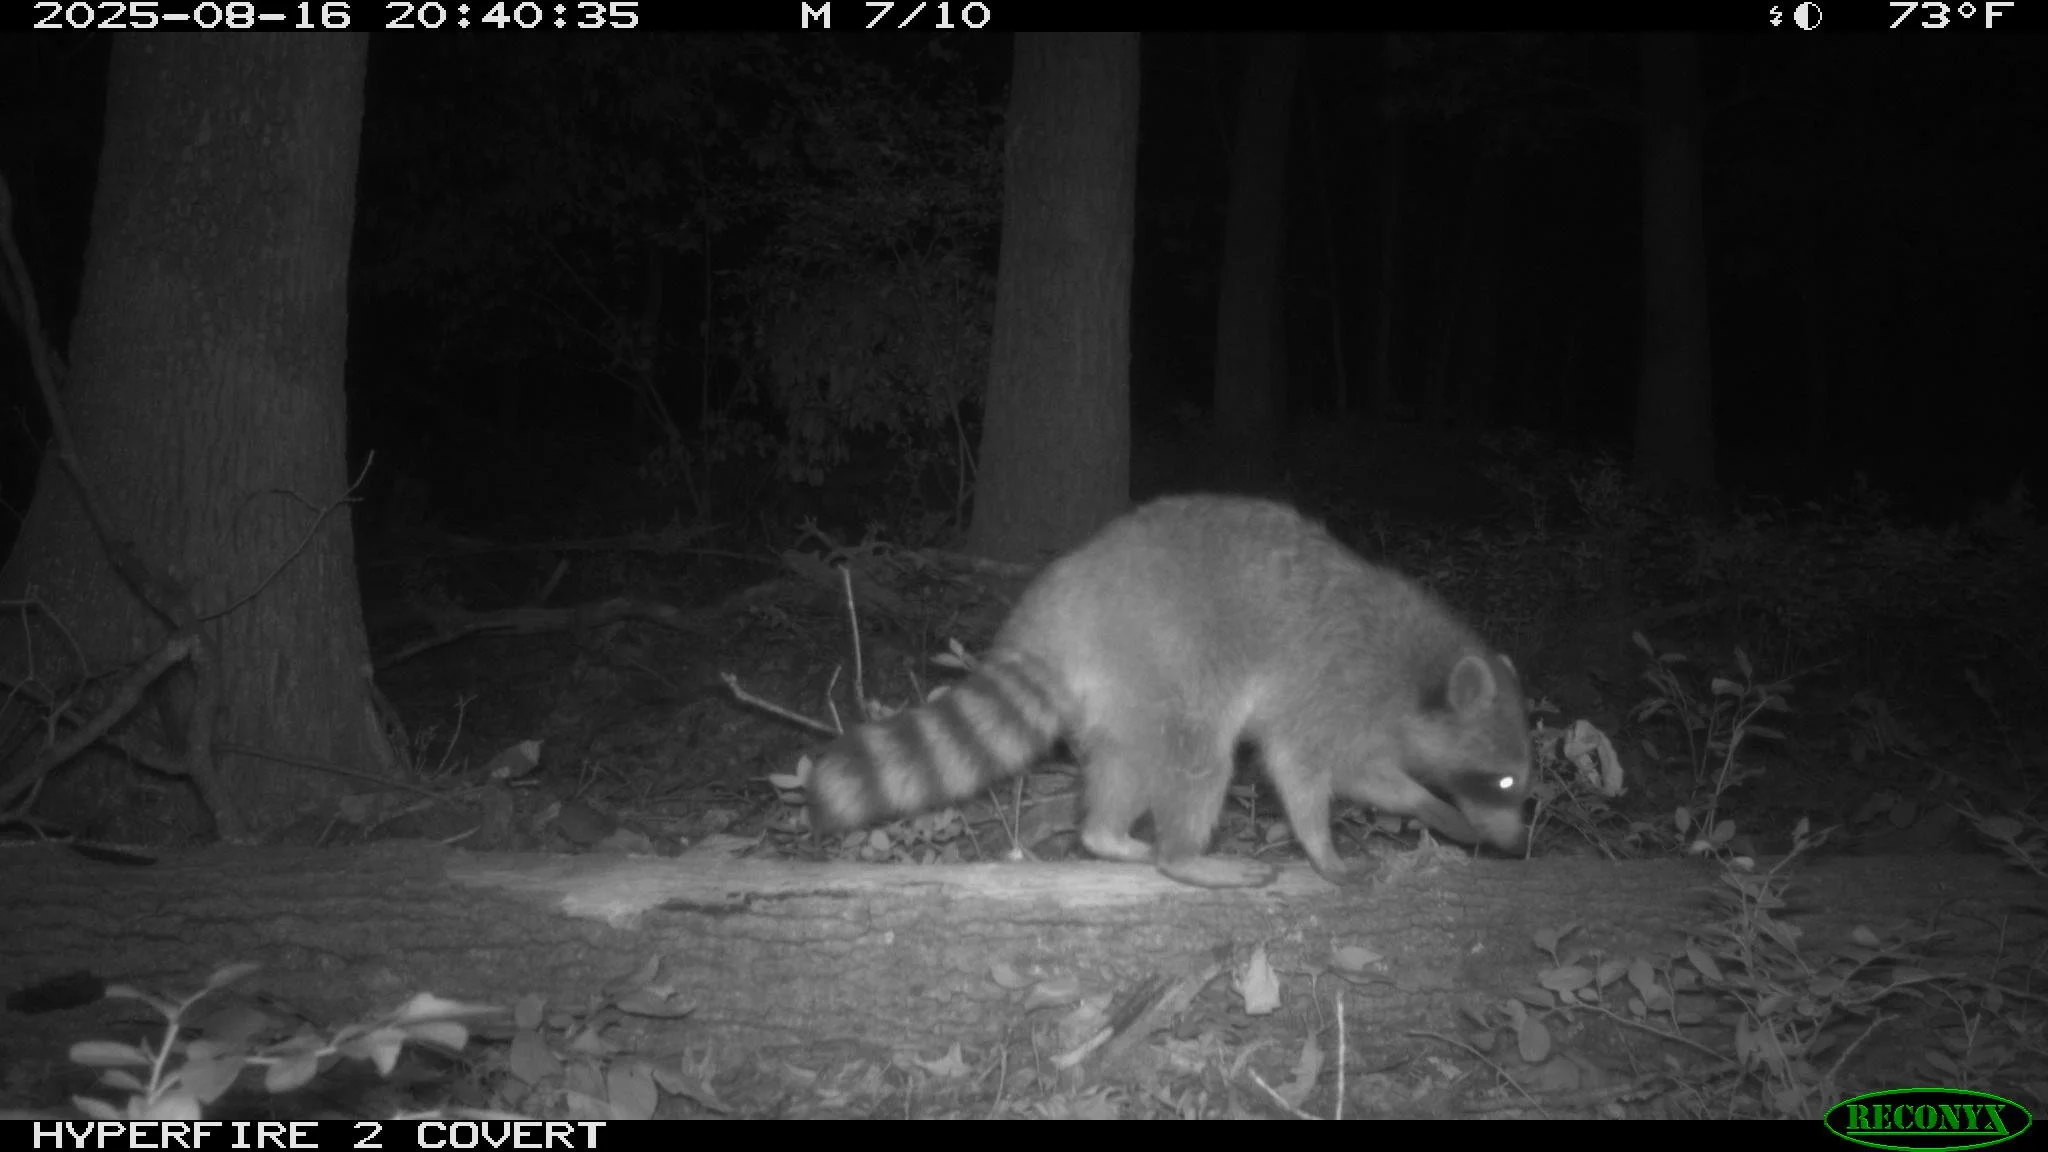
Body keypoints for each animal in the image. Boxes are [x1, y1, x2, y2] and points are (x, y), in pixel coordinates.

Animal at [806, 495, 1531, 888]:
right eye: (1502, 782)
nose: (1516, 843)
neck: (1421, 674)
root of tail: (1056, 608)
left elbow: (1370, 777)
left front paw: (1435, 808)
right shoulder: (1332, 686)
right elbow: (1302, 770)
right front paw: (1322, 844)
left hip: (1122, 689)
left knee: (1125, 763)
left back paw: (1107, 835)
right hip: (1160, 655)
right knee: (1200, 758)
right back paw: (1183, 855)